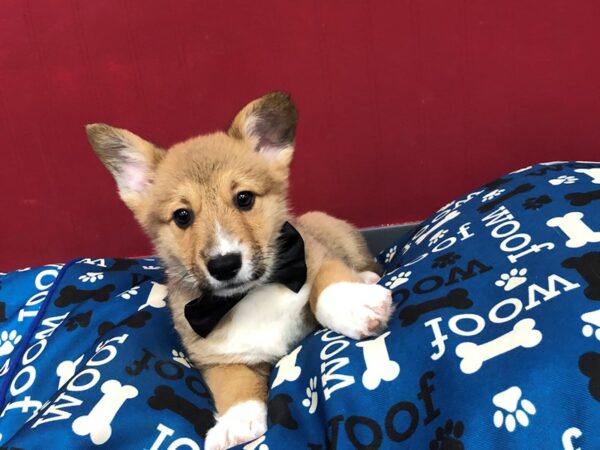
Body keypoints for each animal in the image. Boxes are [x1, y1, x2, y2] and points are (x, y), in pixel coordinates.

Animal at [85, 92, 394, 450]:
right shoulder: (218, 358)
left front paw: (357, 307)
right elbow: (234, 383)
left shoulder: (316, 256)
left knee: (367, 264)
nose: (224, 265)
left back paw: (367, 278)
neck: (247, 296)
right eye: (182, 216)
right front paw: (236, 423)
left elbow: (327, 286)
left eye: (244, 198)